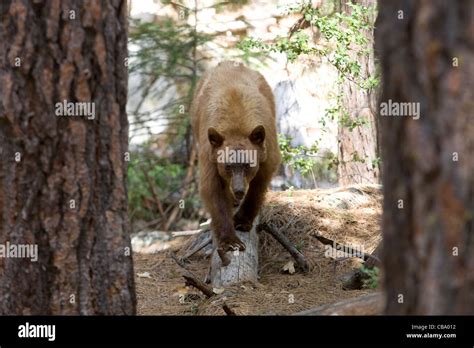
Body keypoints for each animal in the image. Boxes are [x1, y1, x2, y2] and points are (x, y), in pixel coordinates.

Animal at [190, 61, 280, 266]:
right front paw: (231, 241)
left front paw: (242, 220)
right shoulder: (210, 153)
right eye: (228, 166)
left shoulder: (266, 147)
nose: (238, 190)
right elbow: (212, 189)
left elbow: (259, 184)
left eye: (248, 165)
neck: (236, 126)